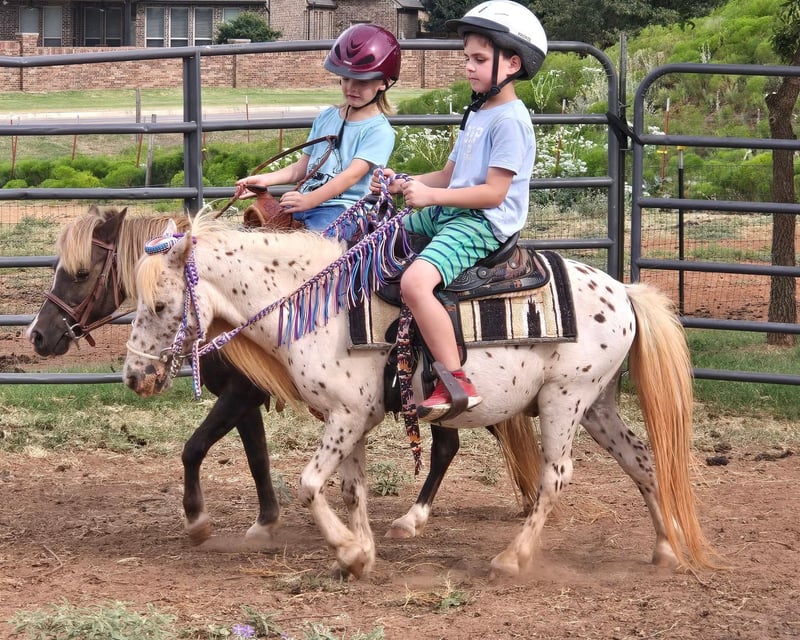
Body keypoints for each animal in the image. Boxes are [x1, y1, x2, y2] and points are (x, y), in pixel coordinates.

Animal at [25, 205, 539, 545]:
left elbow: (195, 448)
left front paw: (200, 520)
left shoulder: (241, 393)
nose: (38, 336)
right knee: (454, 444)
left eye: (80, 272)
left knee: (461, 442)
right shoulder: (247, 397)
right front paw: (265, 520)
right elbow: (255, 456)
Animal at [122, 210, 718, 579]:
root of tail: (624, 291)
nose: (134, 376)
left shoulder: (346, 415)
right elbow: (351, 490)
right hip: (598, 404)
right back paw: (665, 549)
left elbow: (310, 485)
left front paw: (347, 551)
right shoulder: (351, 418)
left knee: (555, 477)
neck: (324, 305)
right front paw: (360, 554)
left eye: (158, 305)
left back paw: (513, 558)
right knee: (642, 461)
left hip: (564, 400)